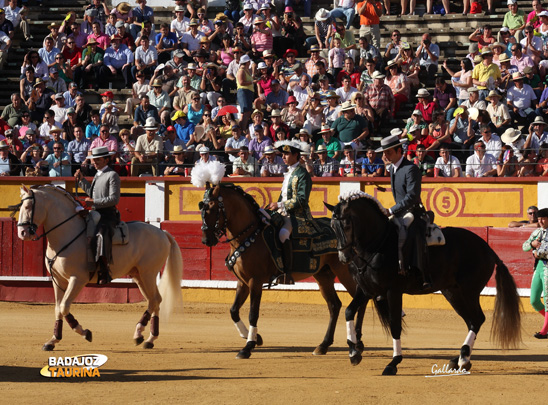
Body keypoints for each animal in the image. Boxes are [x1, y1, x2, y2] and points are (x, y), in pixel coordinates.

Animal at [16, 185, 183, 348]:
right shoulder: (57, 279)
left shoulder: (77, 279)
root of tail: (162, 232)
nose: (22, 233)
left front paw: (84, 333)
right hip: (138, 276)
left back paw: (143, 335)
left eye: (28, 206)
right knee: (155, 300)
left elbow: (64, 306)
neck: (67, 233)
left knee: (154, 300)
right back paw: (146, 338)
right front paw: (53, 340)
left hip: (148, 273)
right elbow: (58, 308)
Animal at [199, 181, 366, 358]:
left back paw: (358, 342)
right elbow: (233, 310)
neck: (248, 235)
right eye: (201, 208)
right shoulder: (242, 281)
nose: (206, 240)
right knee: (334, 305)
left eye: (211, 208)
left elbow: (253, 313)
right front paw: (254, 337)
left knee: (359, 300)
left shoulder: (255, 281)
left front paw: (248, 347)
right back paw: (323, 345)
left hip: (344, 272)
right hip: (323, 275)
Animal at [326, 191, 524, 374]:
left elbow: (395, 324)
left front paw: (393, 363)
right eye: (332, 226)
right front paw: (353, 352)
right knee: (472, 320)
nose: (343, 257)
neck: (377, 244)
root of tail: (488, 248)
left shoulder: (393, 291)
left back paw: (462, 358)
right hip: (452, 292)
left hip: (469, 292)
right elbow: (349, 311)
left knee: (477, 319)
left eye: (347, 224)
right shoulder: (366, 289)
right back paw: (461, 359)